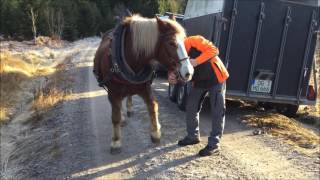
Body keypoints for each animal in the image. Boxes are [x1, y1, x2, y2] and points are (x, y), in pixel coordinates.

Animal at [92, 14, 192, 154]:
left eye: (184, 40)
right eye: (171, 43)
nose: (188, 72)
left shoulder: (145, 88)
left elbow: (153, 106)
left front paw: (155, 132)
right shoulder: (113, 93)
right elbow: (115, 116)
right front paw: (116, 142)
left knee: (128, 96)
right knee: (117, 106)